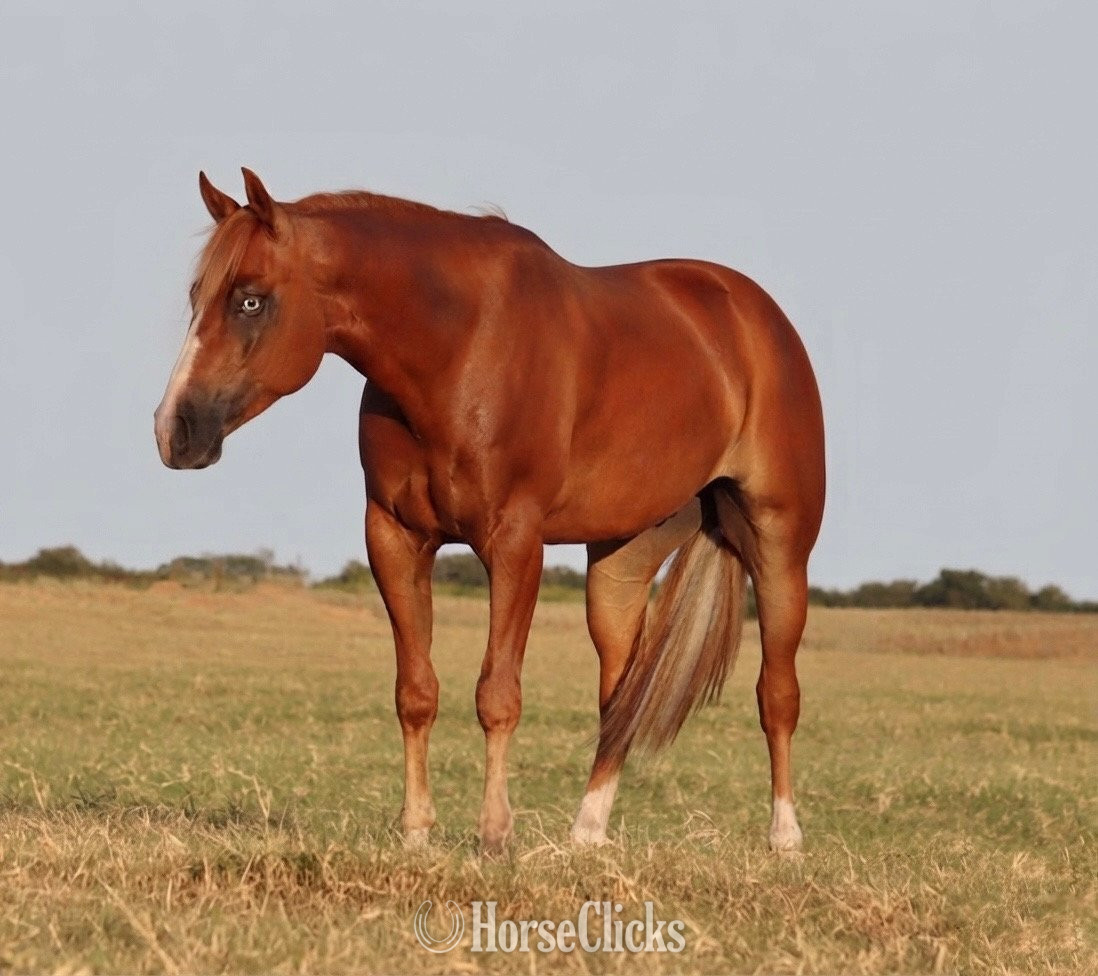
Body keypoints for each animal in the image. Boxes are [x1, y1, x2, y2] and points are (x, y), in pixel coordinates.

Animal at [154, 169, 825, 853]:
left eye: (250, 301)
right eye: (197, 296)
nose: (173, 429)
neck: (456, 349)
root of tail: (753, 314)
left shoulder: (514, 543)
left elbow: (497, 693)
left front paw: (495, 833)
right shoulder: (393, 537)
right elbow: (416, 691)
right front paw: (416, 831)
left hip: (780, 545)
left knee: (777, 693)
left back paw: (785, 837)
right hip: (622, 559)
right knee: (620, 693)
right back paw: (587, 833)